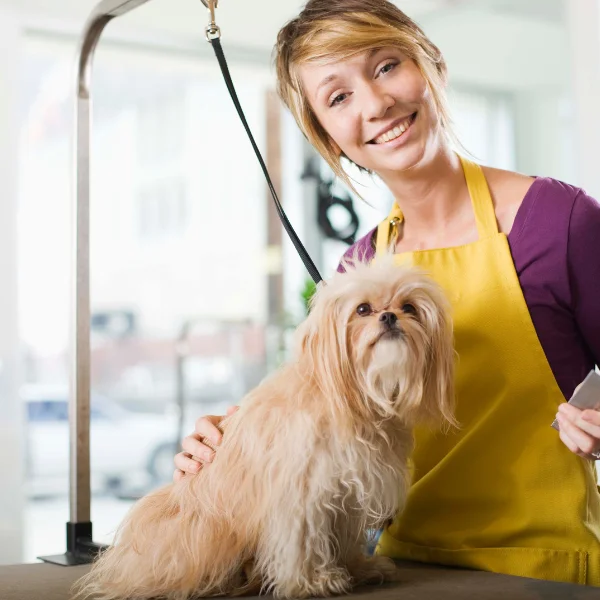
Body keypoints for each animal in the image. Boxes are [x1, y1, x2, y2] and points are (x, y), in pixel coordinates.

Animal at [72, 258, 454, 600]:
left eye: (409, 307)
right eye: (363, 309)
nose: (389, 316)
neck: (353, 398)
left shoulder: (345, 496)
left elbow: (343, 537)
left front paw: (358, 568)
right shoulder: (301, 492)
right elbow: (302, 540)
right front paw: (312, 582)